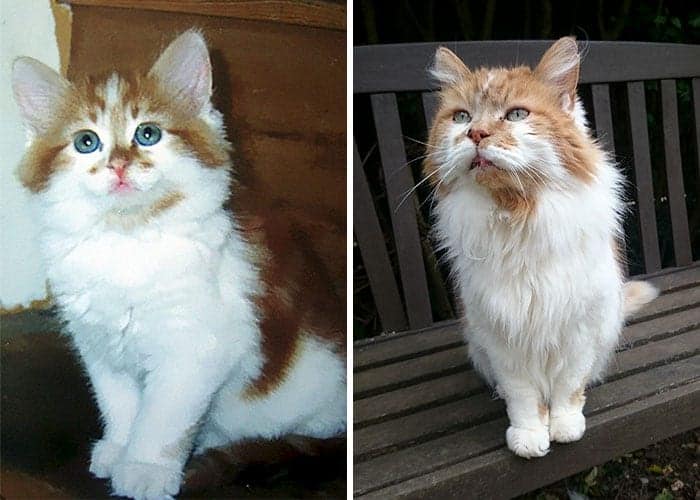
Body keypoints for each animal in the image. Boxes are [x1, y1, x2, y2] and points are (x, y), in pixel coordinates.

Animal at [10, 29, 344, 498]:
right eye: (86, 142)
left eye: (148, 133)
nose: (119, 165)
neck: (126, 242)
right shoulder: (100, 344)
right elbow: (120, 404)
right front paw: (120, 447)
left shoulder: (195, 348)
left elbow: (162, 418)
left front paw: (145, 468)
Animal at [424, 38, 660, 460]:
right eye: (461, 117)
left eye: (516, 114)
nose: (476, 134)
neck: (516, 216)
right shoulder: (501, 336)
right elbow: (523, 398)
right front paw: (530, 437)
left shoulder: (579, 328)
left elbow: (568, 387)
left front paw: (564, 427)